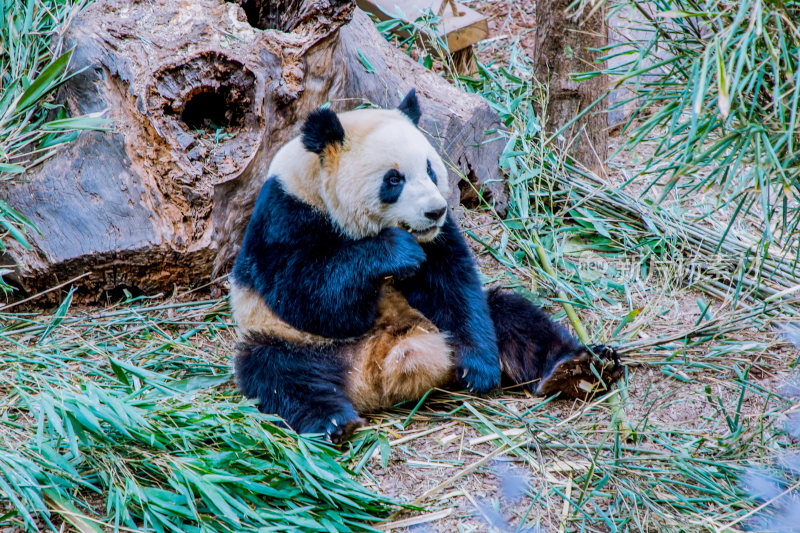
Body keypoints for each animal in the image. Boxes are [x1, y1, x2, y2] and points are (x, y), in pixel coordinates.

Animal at [231, 90, 624, 440]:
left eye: (431, 170)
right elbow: (311, 297)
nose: (435, 210)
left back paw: (579, 367)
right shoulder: (285, 217)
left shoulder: (439, 238)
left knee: (511, 316)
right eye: (393, 179)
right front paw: (394, 253)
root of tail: (375, 381)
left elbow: (453, 284)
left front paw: (479, 370)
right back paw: (335, 422)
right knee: (280, 374)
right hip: (292, 341)